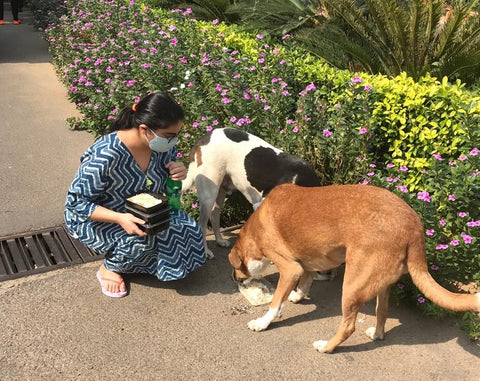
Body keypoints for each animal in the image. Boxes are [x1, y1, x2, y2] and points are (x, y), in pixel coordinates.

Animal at [182, 127, 320, 258]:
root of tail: (202, 139)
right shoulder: (261, 204)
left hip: (219, 192)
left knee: (215, 215)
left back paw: (220, 241)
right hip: (209, 195)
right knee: (202, 224)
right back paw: (205, 252)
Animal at [230, 183, 480, 352]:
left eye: (237, 268)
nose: (234, 278)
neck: (255, 227)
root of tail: (414, 227)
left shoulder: (290, 268)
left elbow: (275, 304)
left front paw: (262, 322)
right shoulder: (307, 263)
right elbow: (306, 280)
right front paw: (298, 295)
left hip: (352, 286)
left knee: (348, 326)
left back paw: (327, 346)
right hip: (381, 285)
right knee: (382, 311)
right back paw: (377, 334)